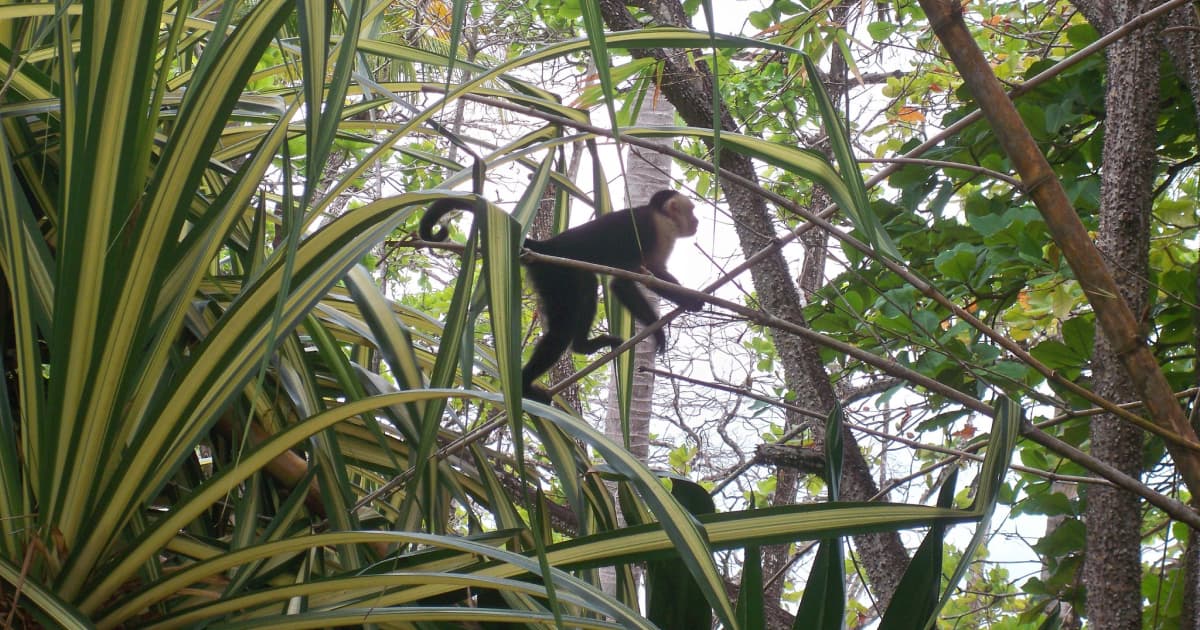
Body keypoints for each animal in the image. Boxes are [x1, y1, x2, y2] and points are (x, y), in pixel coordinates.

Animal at [420, 189, 700, 400]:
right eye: (693, 211)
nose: (697, 222)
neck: (660, 219)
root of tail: (548, 247)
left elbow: (654, 273)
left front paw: (692, 301)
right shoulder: (648, 230)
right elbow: (622, 283)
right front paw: (659, 328)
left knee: (587, 289)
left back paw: (583, 346)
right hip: (554, 275)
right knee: (562, 328)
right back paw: (525, 385)